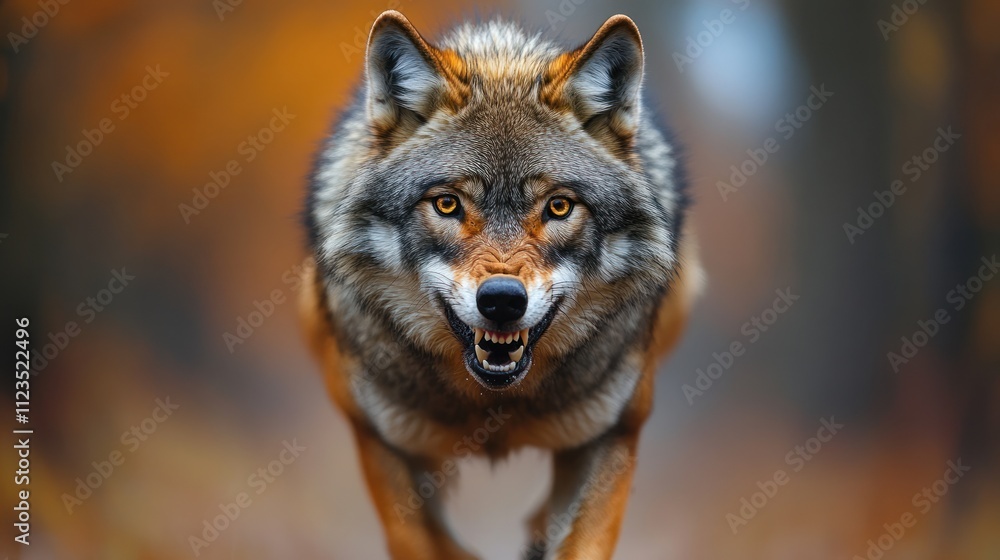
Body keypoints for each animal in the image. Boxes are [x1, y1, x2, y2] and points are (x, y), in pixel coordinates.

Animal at [301, 10, 701, 560]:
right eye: (447, 204)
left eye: (559, 206)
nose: (503, 301)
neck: (494, 408)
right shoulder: (381, 440)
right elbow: (422, 540)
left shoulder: (614, 431)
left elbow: (583, 542)